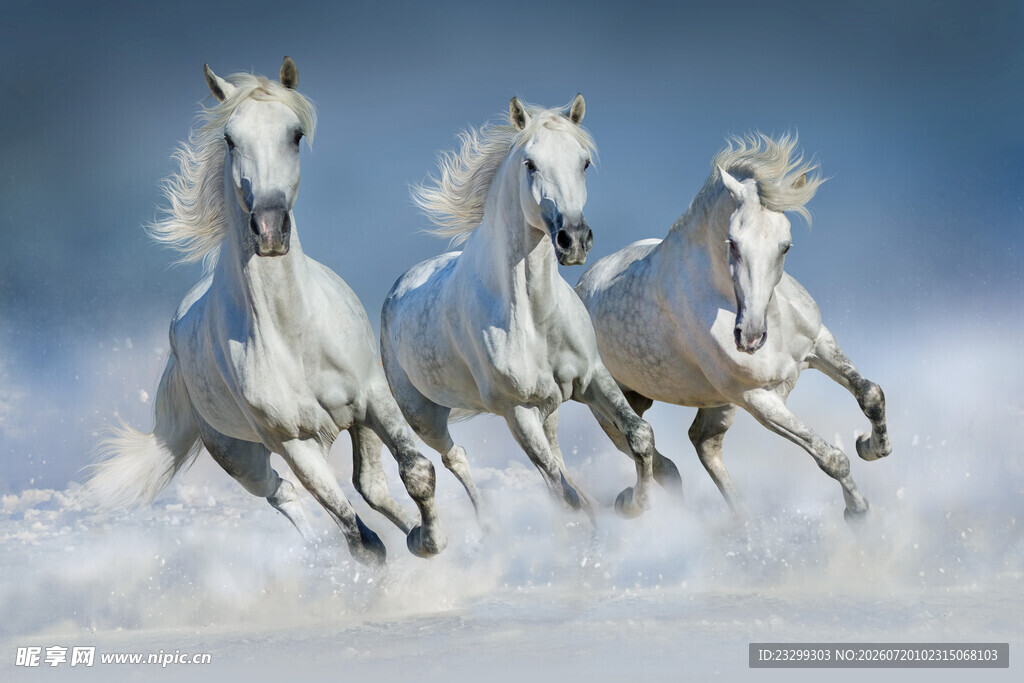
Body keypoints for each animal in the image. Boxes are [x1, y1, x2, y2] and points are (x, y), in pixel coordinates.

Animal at [86, 58, 446, 565]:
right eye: (229, 139)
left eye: (295, 134)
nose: (270, 229)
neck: (293, 333)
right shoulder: (294, 442)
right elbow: (359, 539)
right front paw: (408, 552)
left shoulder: (374, 399)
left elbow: (416, 471)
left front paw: (430, 540)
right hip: (240, 457)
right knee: (283, 493)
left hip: (356, 422)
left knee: (370, 485)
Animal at [380, 95, 681, 525]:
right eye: (530, 163)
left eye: (584, 162)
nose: (574, 240)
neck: (533, 317)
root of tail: (398, 288)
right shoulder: (516, 411)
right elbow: (561, 491)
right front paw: (622, 508)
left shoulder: (593, 377)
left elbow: (639, 436)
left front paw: (634, 504)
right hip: (426, 417)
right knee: (456, 458)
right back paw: (487, 525)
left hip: (548, 407)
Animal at [575, 133, 891, 521]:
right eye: (733, 243)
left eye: (785, 247)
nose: (750, 338)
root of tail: (582, 285)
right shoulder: (754, 397)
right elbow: (830, 457)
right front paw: (858, 512)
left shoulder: (819, 344)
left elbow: (871, 394)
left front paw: (871, 447)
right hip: (611, 402)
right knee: (644, 448)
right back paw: (634, 503)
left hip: (711, 402)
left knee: (703, 442)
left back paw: (744, 522)